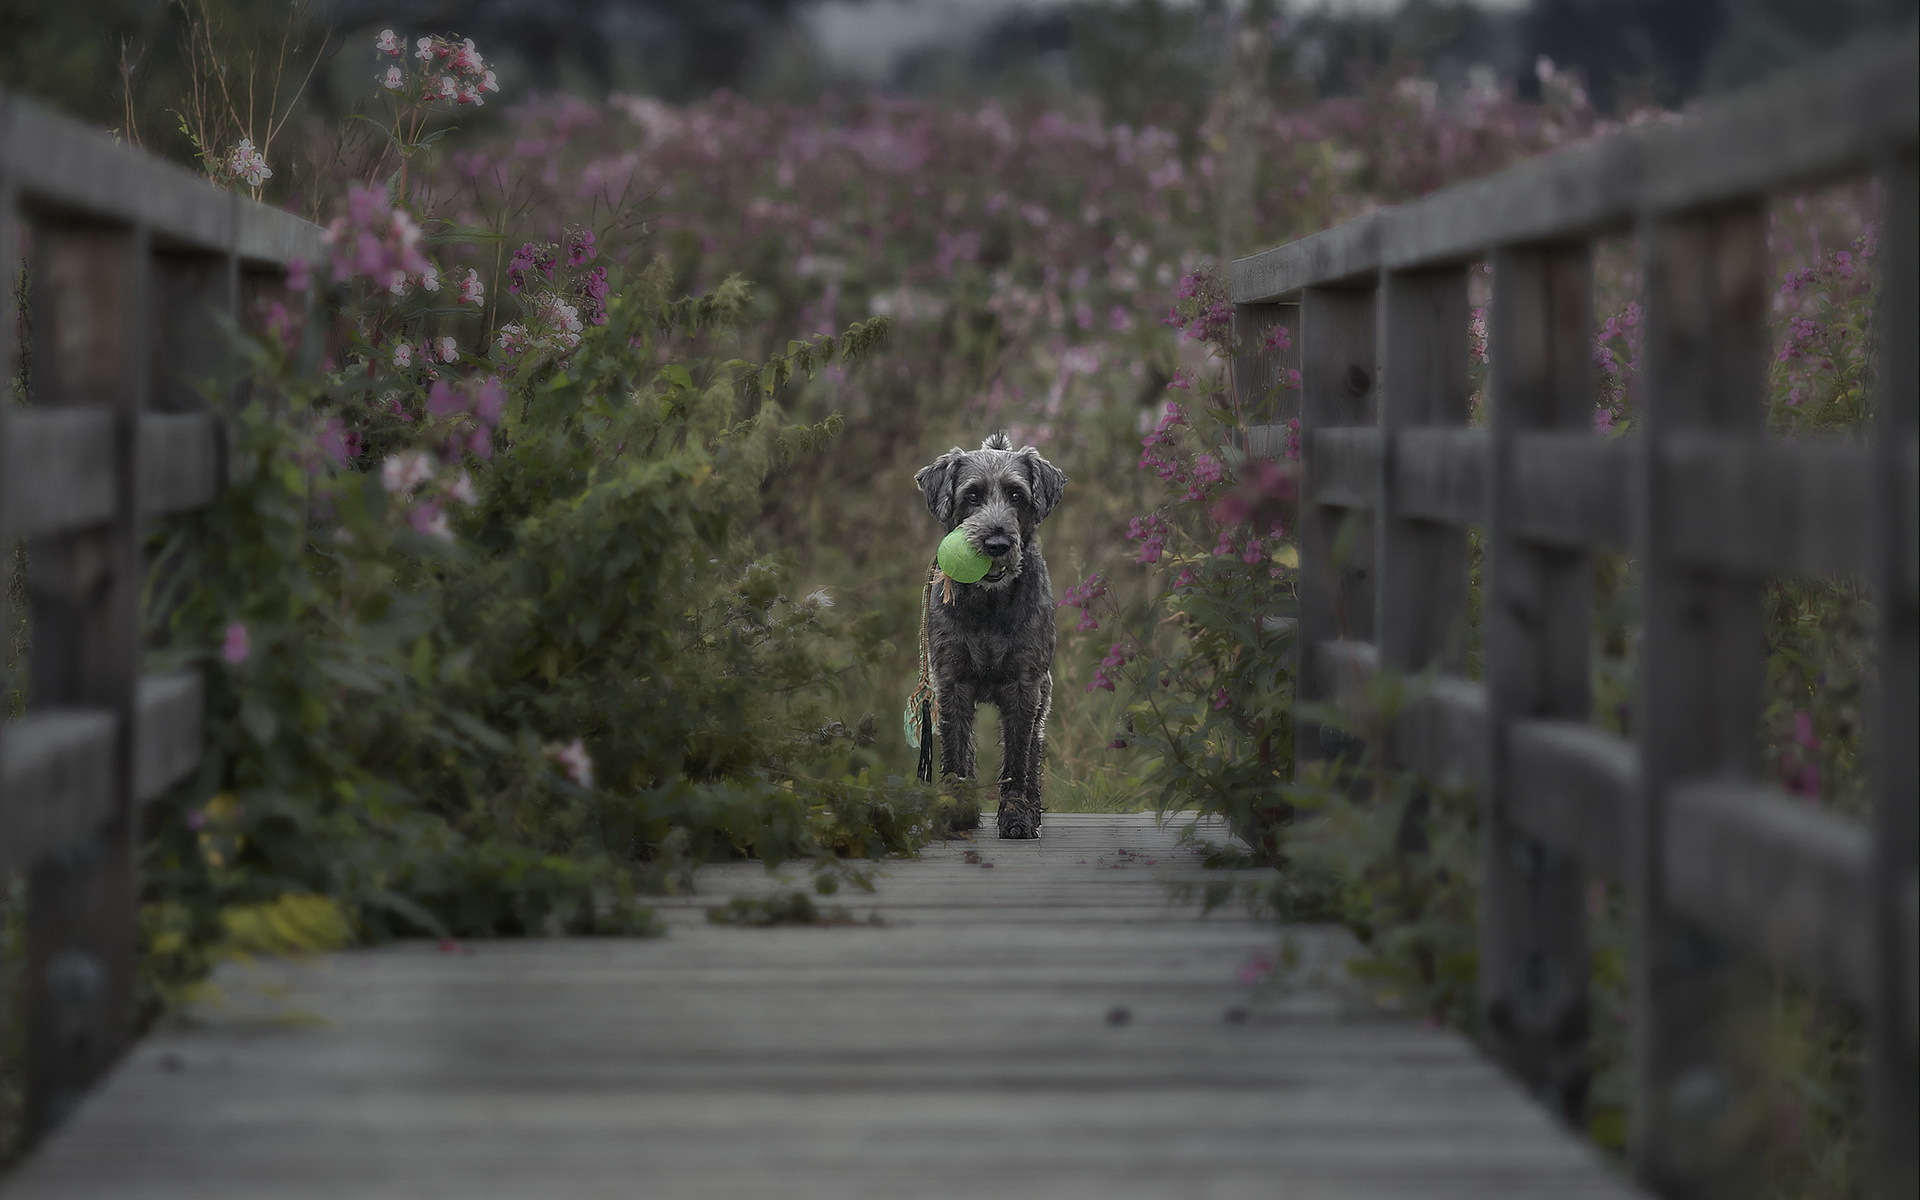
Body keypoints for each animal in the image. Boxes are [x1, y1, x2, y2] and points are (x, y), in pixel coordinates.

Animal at [910, 428, 1067, 833]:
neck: (989, 604)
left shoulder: (1024, 686)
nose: (997, 544)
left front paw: (1016, 814)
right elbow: (956, 751)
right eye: (972, 496)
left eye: (1016, 495)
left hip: (1043, 697)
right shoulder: (952, 682)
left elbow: (1017, 757)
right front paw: (956, 810)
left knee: (1033, 750)